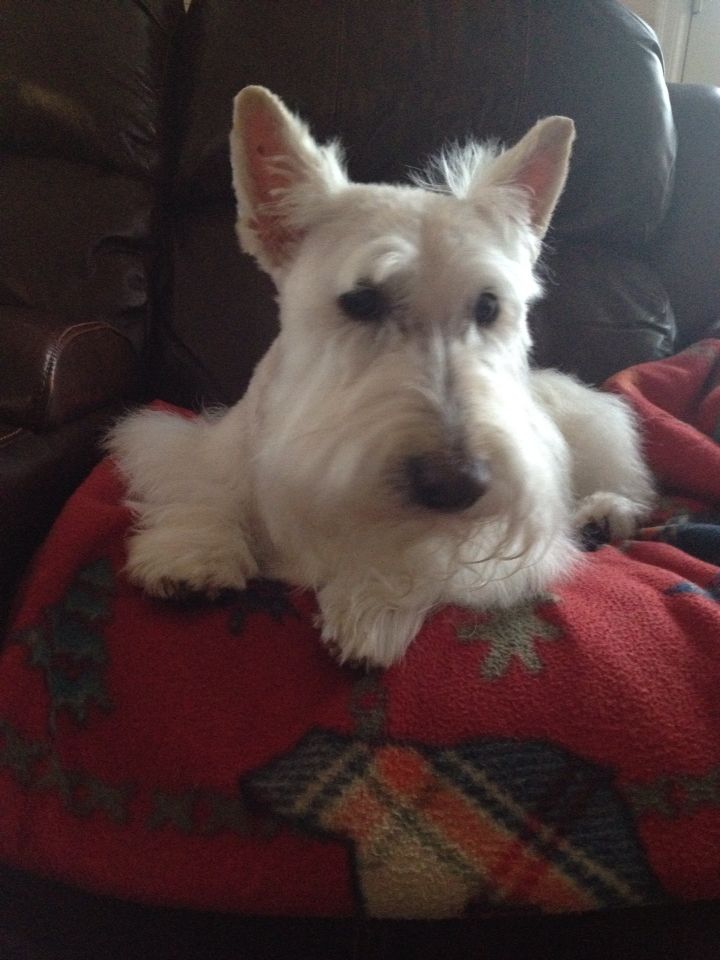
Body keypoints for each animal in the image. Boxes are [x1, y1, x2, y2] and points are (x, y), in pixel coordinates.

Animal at [105, 86, 652, 664]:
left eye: (488, 306)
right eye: (361, 300)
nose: (458, 484)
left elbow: (420, 551)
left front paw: (371, 604)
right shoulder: (193, 445)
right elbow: (202, 484)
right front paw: (193, 551)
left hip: (591, 424)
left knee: (624, 482)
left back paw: (605, 513)